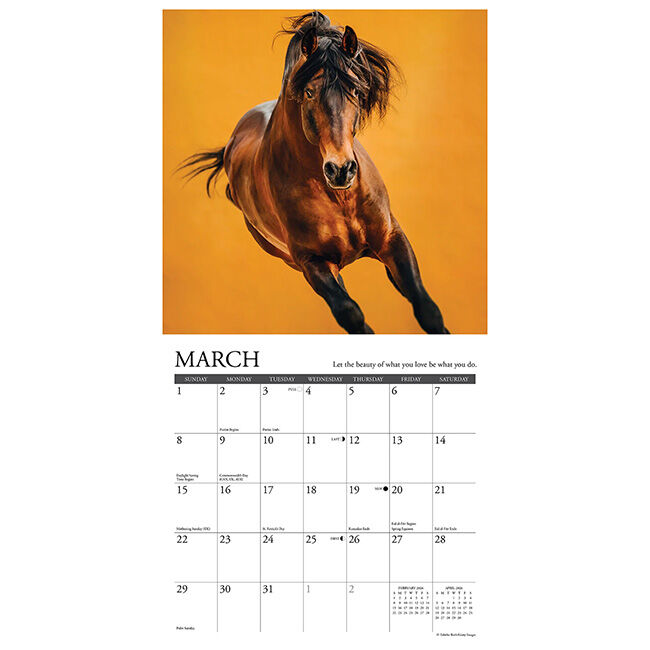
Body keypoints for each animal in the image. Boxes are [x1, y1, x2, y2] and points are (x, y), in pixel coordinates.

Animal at [180, 11, 449, 334]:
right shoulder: (312, 262)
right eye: (309, 92)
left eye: (355, 90)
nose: (341, 170)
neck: (339, 199)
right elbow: (351, 313)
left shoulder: (391, 239)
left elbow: (427, 309)